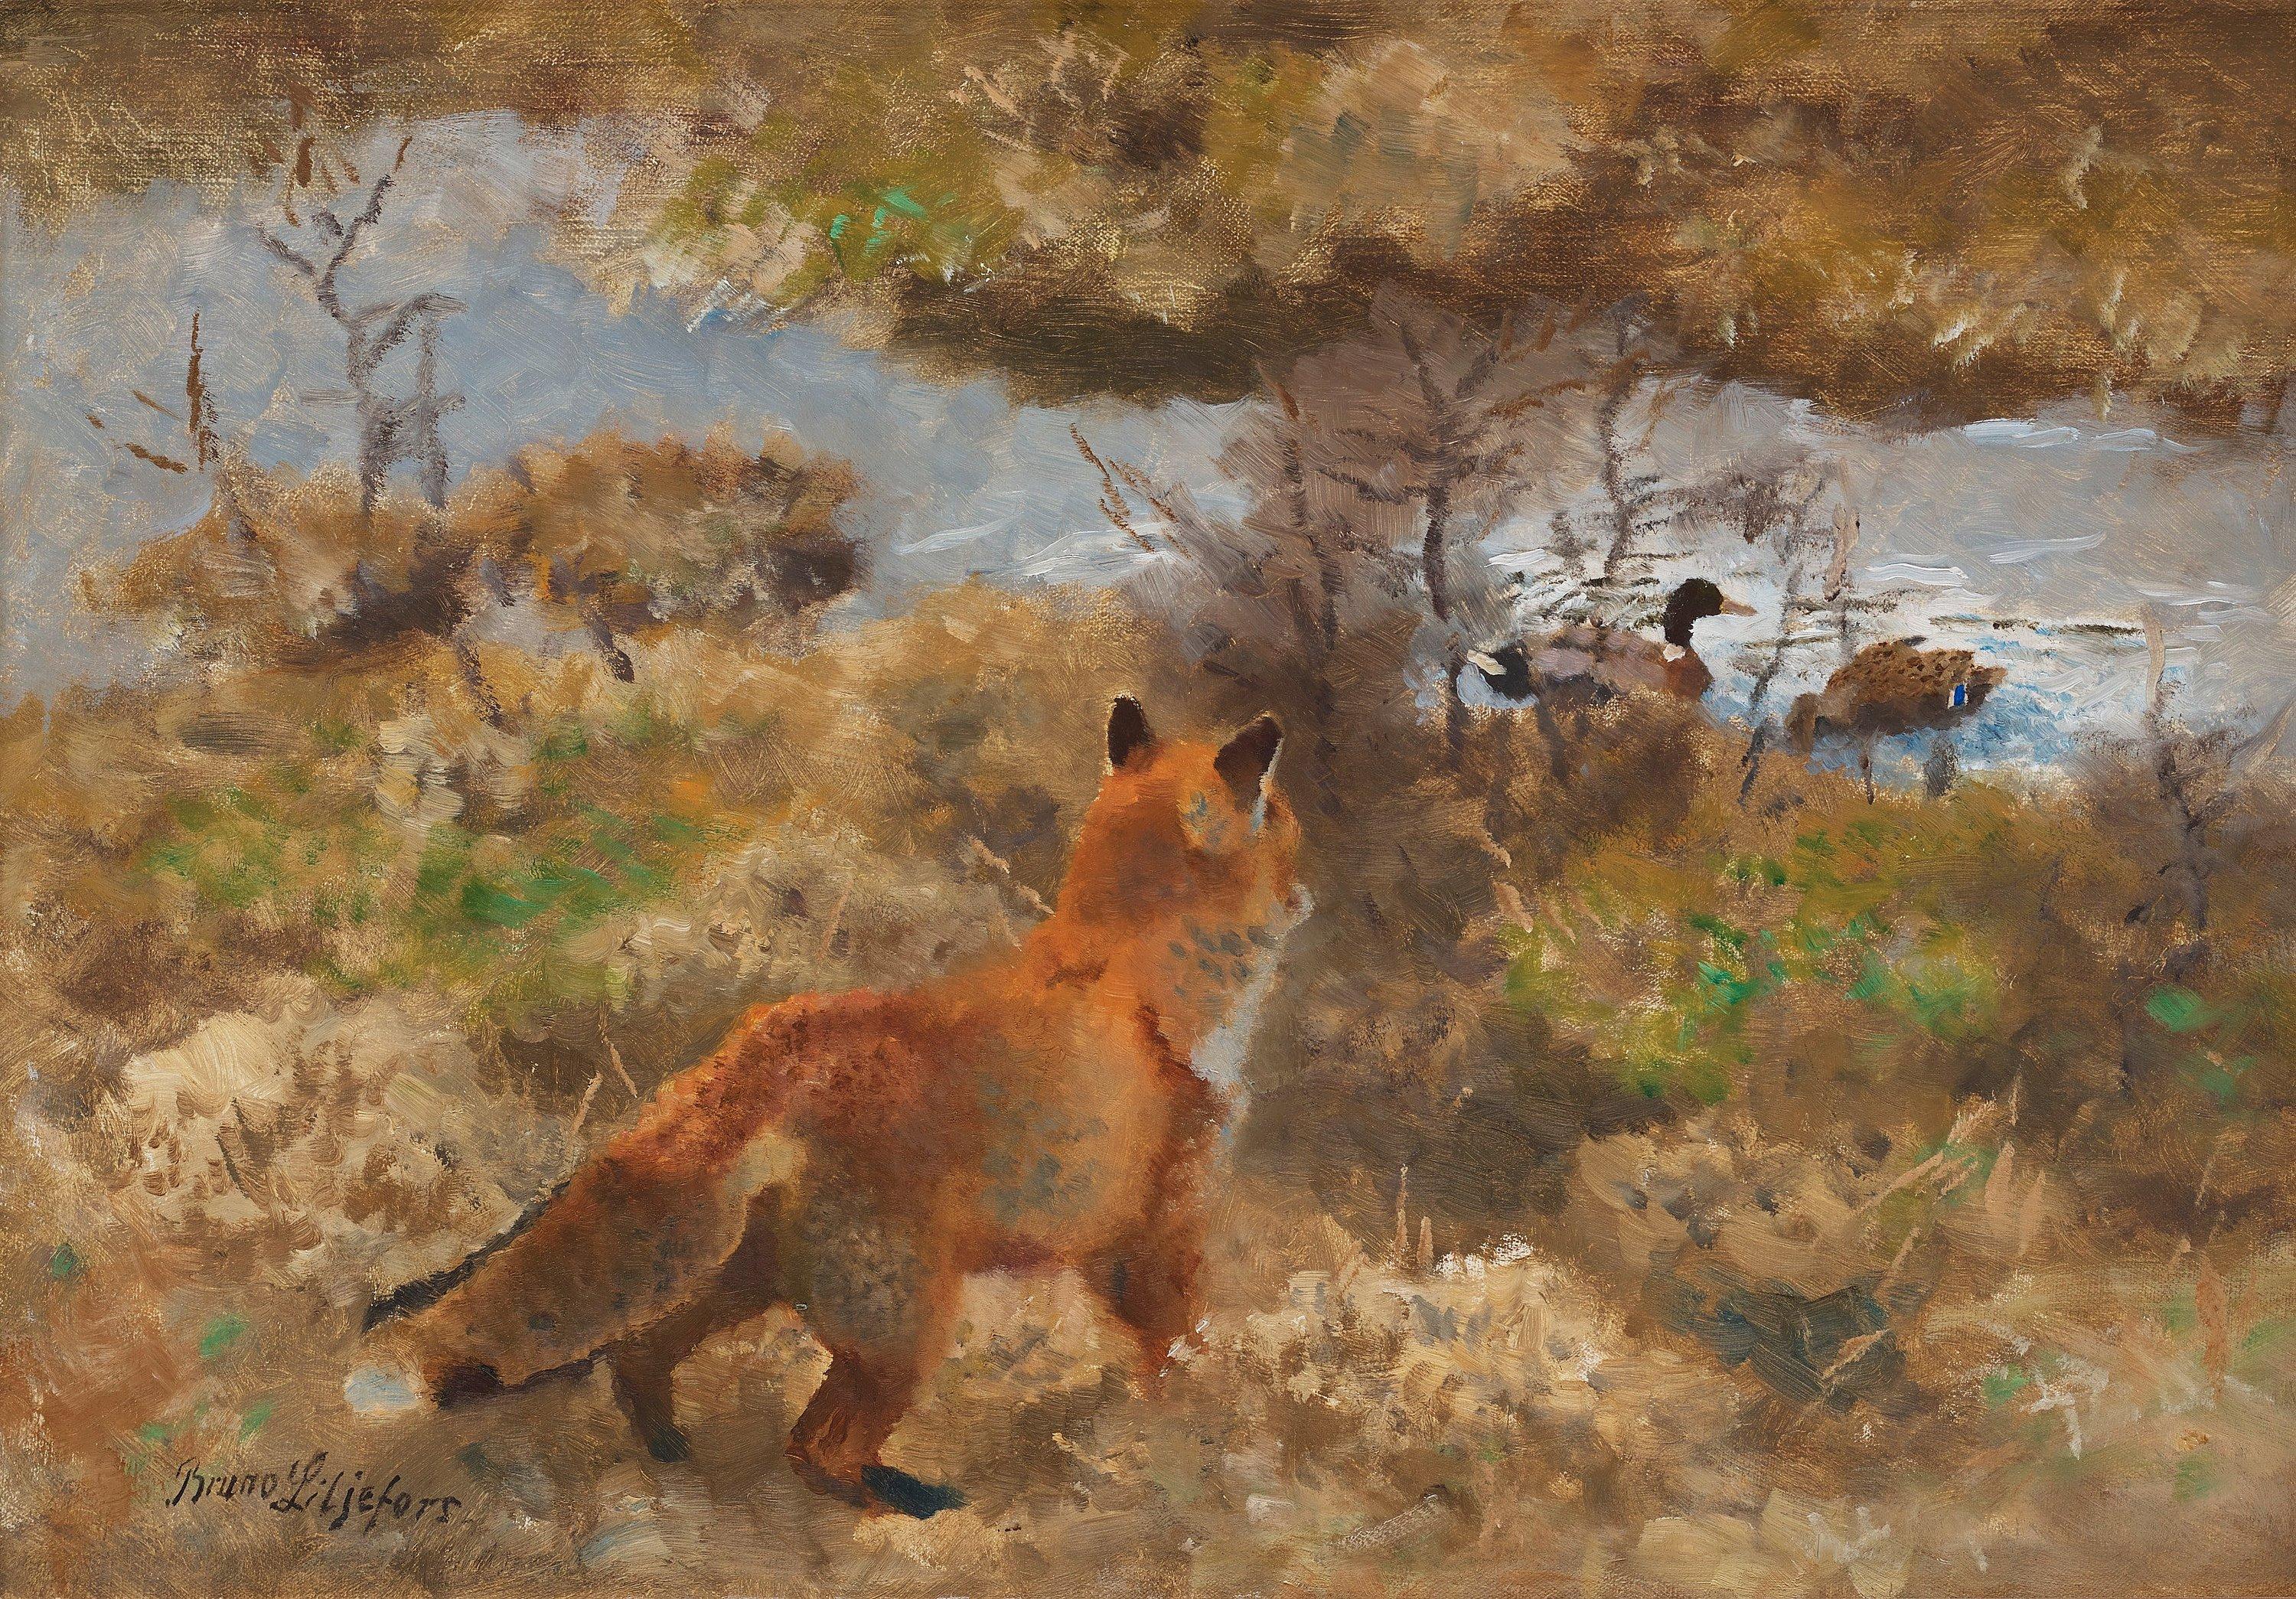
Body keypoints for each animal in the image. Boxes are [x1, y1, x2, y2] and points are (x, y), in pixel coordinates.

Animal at [353, 696, 1302, 1517]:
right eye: (1287, 823)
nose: (1306, 898)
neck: (1130, 968)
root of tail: (769, 1041)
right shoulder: (1160, 1224)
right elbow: (1171, 1340)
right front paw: (1187, 1426)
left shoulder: (1118, 1239)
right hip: (900, 1329)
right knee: (812, 1446)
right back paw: (903, 1503)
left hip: (746, 1277)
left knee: (639, 1353)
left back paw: (674, 1458)